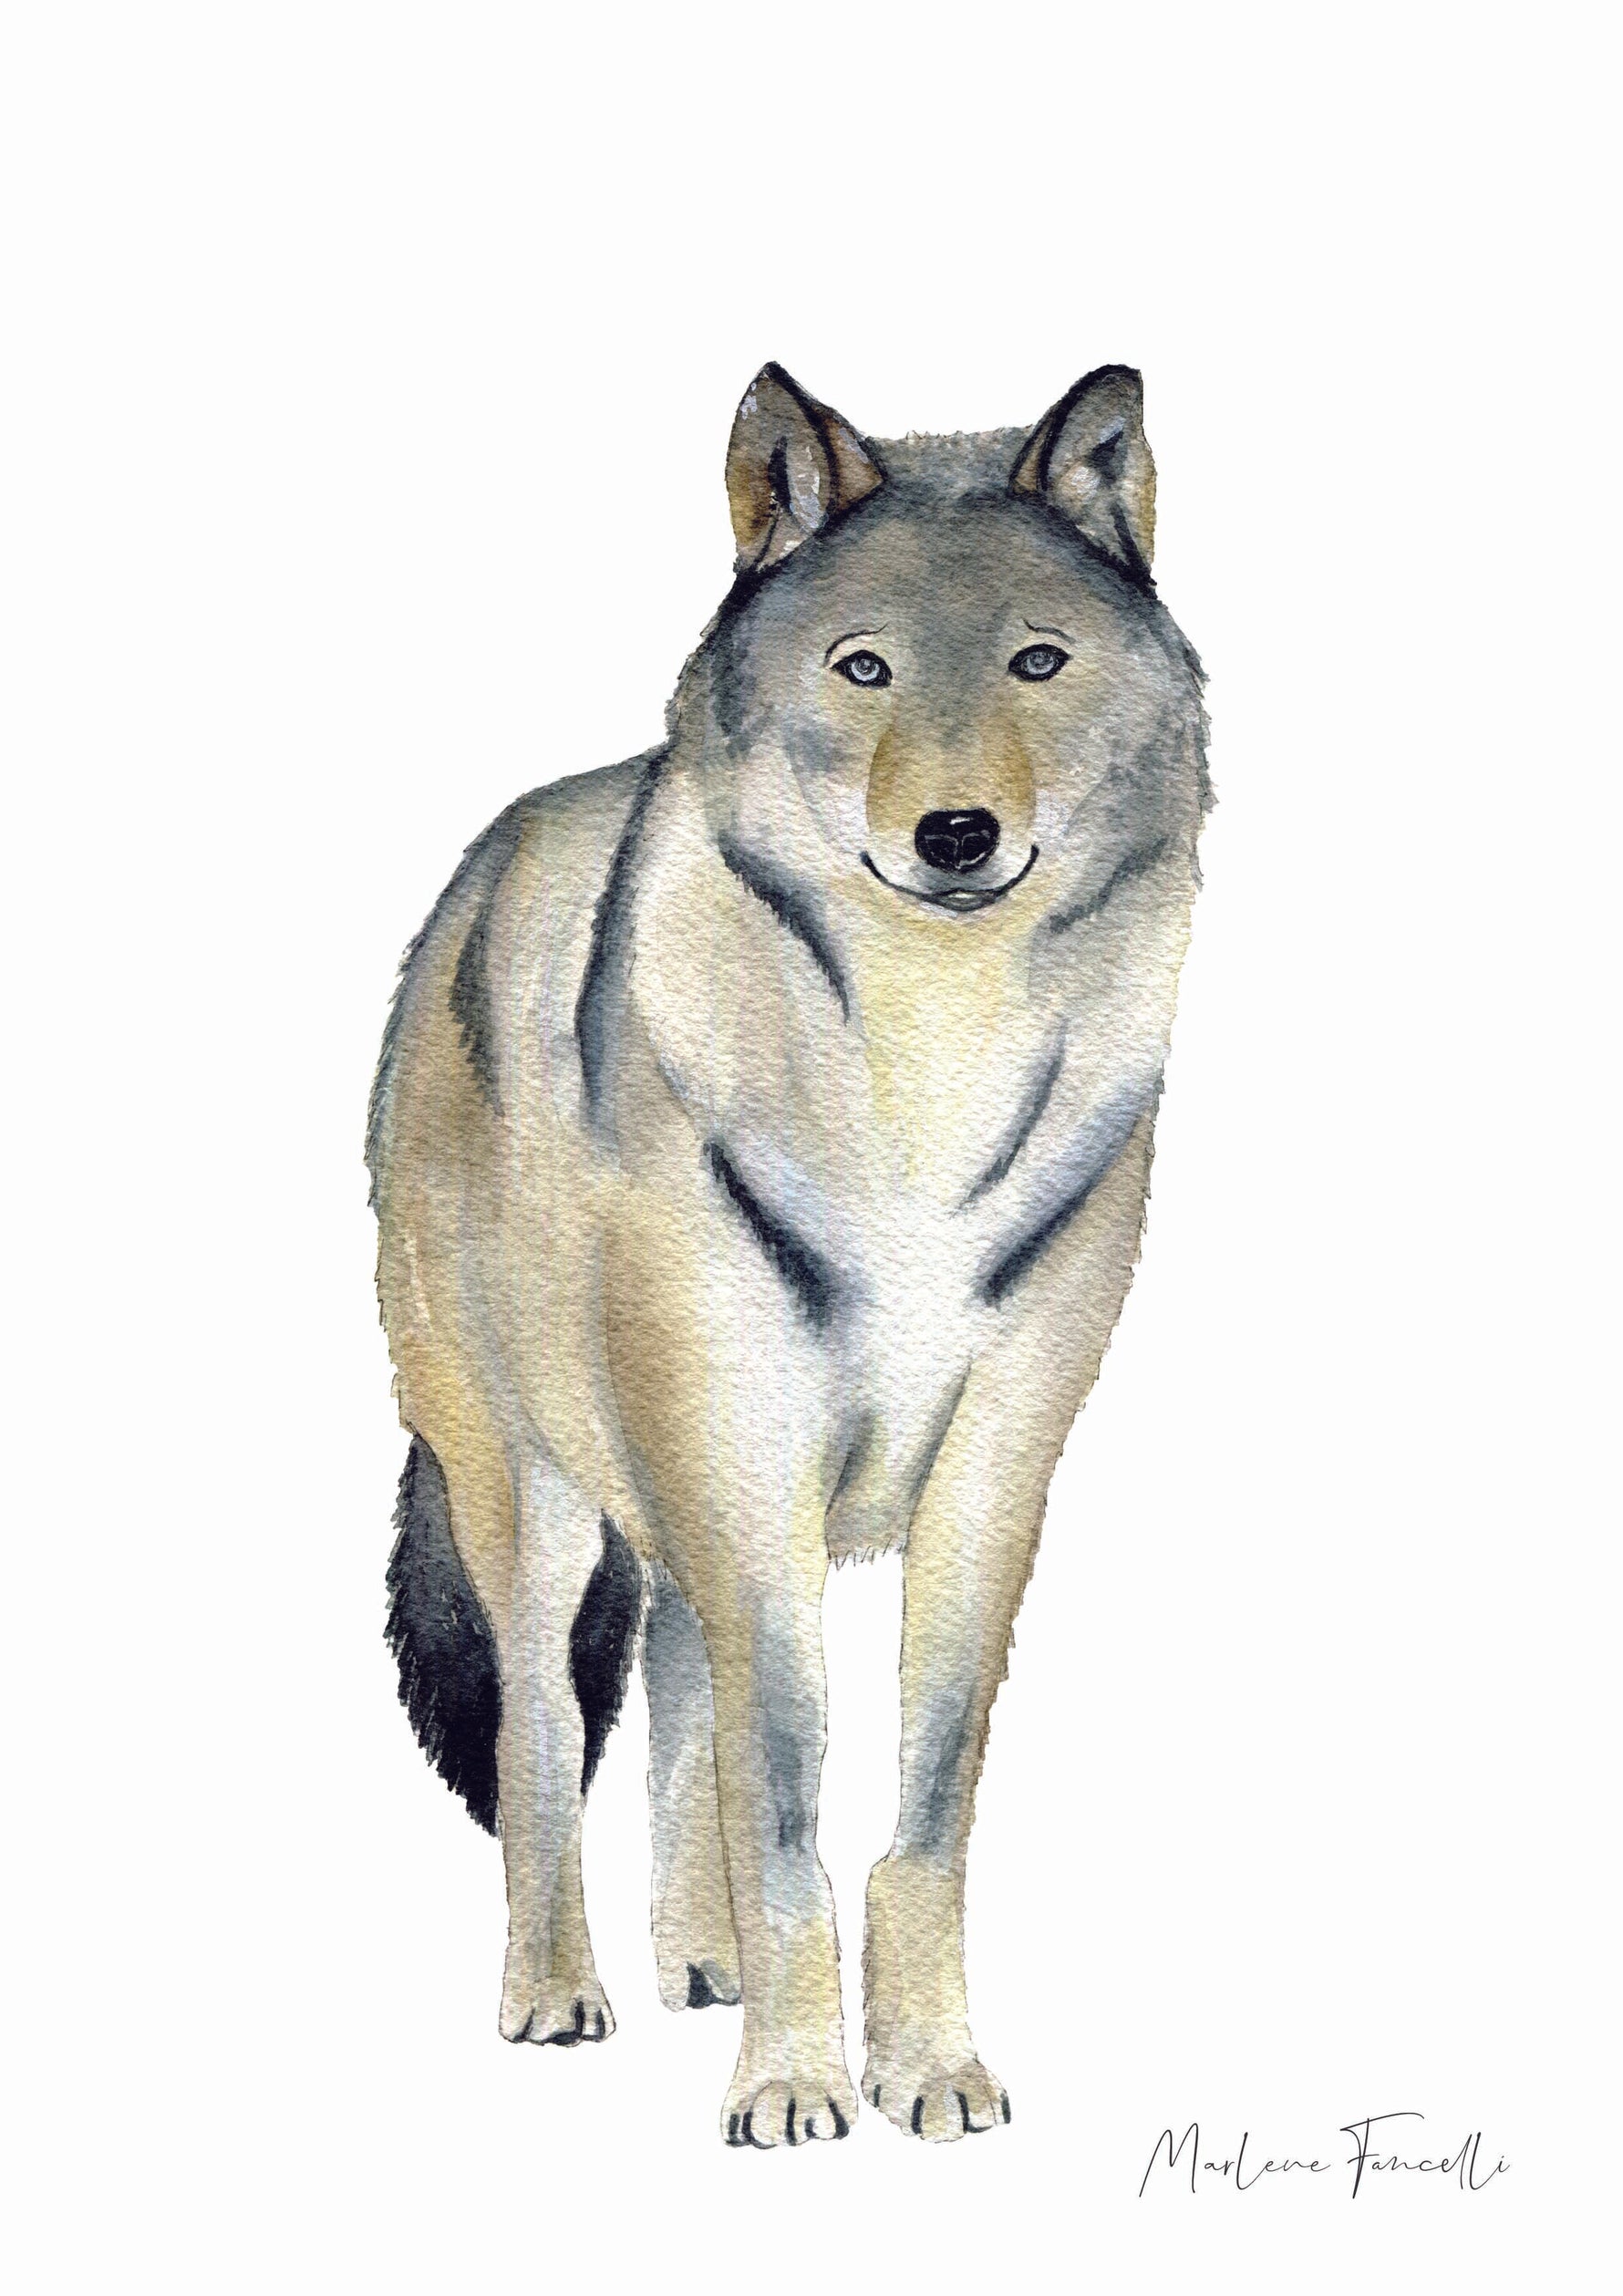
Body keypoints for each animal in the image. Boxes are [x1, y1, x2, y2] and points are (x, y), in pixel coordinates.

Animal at [367, 362, 1208, 2146]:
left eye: (1039, 661)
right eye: (863, 667)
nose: (956, 833)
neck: (925, 1076)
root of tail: (490, 859)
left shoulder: (992, 1474)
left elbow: (918, 1802)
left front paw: (931, 2066)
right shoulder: (745, 1466)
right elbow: (782, 1796)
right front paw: (799, 2082)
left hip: (676, 1503)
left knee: (678, 1676)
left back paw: (703, 1962)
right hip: (531, 1493)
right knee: (546, 1733)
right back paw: (563, 1988)